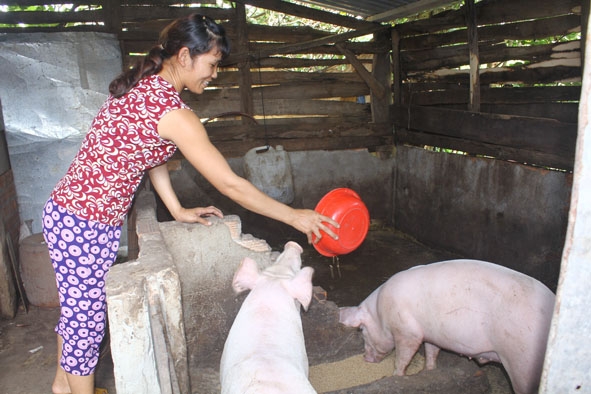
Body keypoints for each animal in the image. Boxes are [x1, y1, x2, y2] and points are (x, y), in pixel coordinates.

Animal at [340, 258, 556, 394]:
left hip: (522, 363)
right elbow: (431, 351)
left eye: (362, 330)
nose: (365, 359)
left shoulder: (407, 331)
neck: (381, 312)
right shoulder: (431, 333)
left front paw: (397, 376)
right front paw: (428, 372)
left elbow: (403, 357)